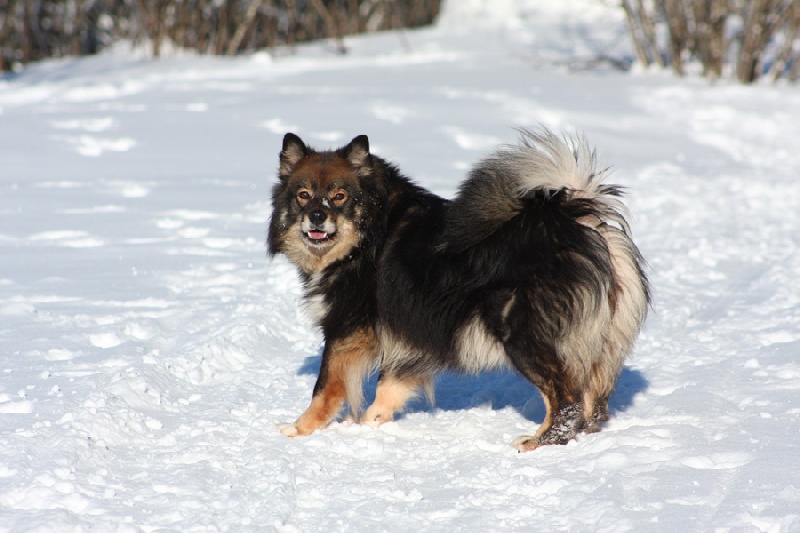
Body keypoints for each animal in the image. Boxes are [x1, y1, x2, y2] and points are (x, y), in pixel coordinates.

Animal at [267, 128, 649, 451]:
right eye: (303, 196)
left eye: (339, 197)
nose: (316, 216)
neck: (367, 236)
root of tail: (576, 220)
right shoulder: (410, 332)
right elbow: (388, 387)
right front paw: (368, 425)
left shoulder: (345, 331)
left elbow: (324, 387)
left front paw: (298, 429)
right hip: (596, 344)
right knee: (589, 403)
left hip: (525, 337)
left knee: (566, 402)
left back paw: (536, 443)